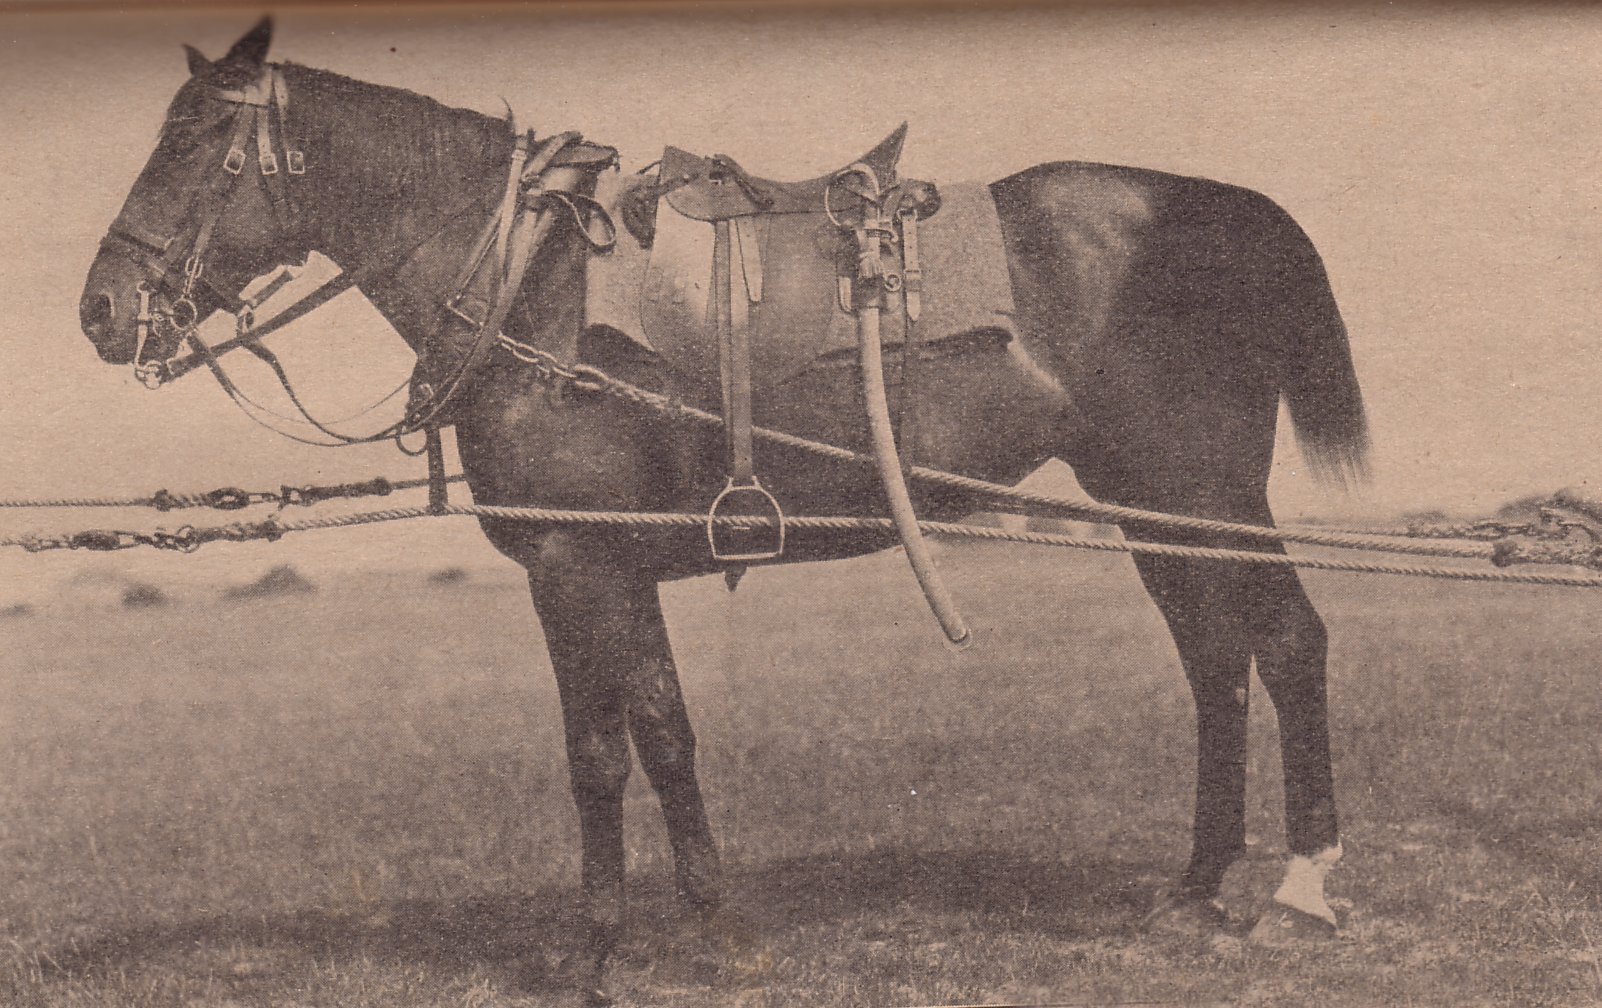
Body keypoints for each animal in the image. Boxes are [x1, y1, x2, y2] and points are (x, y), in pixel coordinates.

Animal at [75, 17, 1371, 999]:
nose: (102, 309)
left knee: (1289, 643)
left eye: (195, 140)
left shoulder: (572, 567)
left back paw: (1302, 890)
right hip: (1150, 504)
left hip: (1203, 489)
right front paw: (718, 928)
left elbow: (597, 754)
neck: (531, 289)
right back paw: (1195, 892)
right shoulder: (624, 569)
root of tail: (1223, 208)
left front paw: (597, 952)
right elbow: (665, 731)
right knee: (1215, 660)